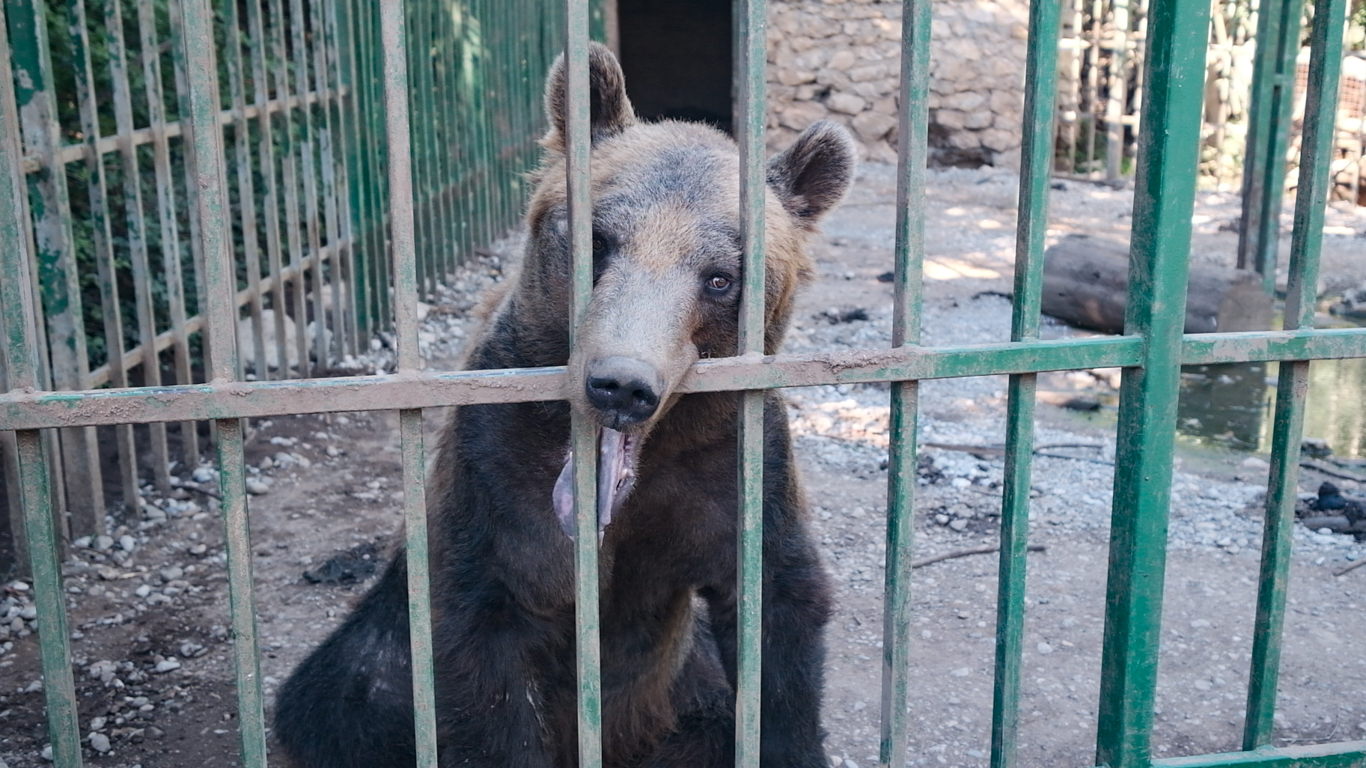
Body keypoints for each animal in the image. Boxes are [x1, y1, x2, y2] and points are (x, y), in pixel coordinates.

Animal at [273, 43, 852, 765]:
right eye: (597, 240)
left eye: (721, 277)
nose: (622, 384)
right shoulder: (497, 479)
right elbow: (487, 657)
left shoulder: (735, 468)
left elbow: (779, 616)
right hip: (378, 660)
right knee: (346, 699)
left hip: (680, 692)